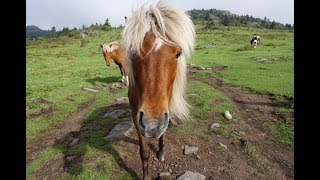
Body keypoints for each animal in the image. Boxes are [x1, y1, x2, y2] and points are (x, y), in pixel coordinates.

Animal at [122, 1, 195, 179]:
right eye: (132, 52)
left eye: (178, 53)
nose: (152, 124)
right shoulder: (136, 115)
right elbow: (143, 151)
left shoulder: (164, 110)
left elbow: (163, 131)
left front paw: (161, 151)